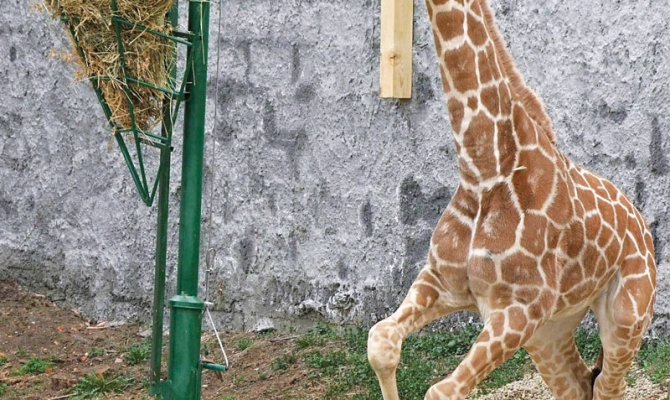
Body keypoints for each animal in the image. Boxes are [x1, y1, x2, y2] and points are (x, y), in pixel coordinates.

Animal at [367, 1, 657, 399]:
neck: (484, 171)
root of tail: (644, 228)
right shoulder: (442, 282)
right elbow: (380, 342)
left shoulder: (519, 309)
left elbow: (441, 390)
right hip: (549, 333)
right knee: (579, 384)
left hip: (626, 316)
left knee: (606, 386)